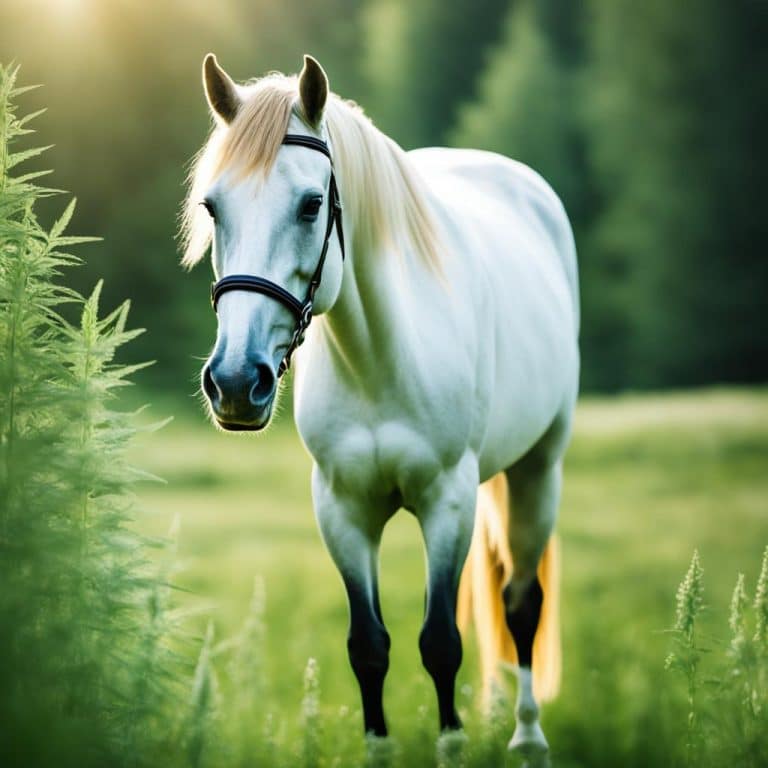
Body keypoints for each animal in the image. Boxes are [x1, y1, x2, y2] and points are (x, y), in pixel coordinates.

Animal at [181, 53, 579, 762]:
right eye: (212, 206)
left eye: (312, 205)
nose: (234, 381)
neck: (379, 362)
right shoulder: (342, 510)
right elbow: (368, 648)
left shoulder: (448, 501)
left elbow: (440, 644)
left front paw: (452, 748)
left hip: (539, 468)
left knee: (520, 602)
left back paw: (528, 738)